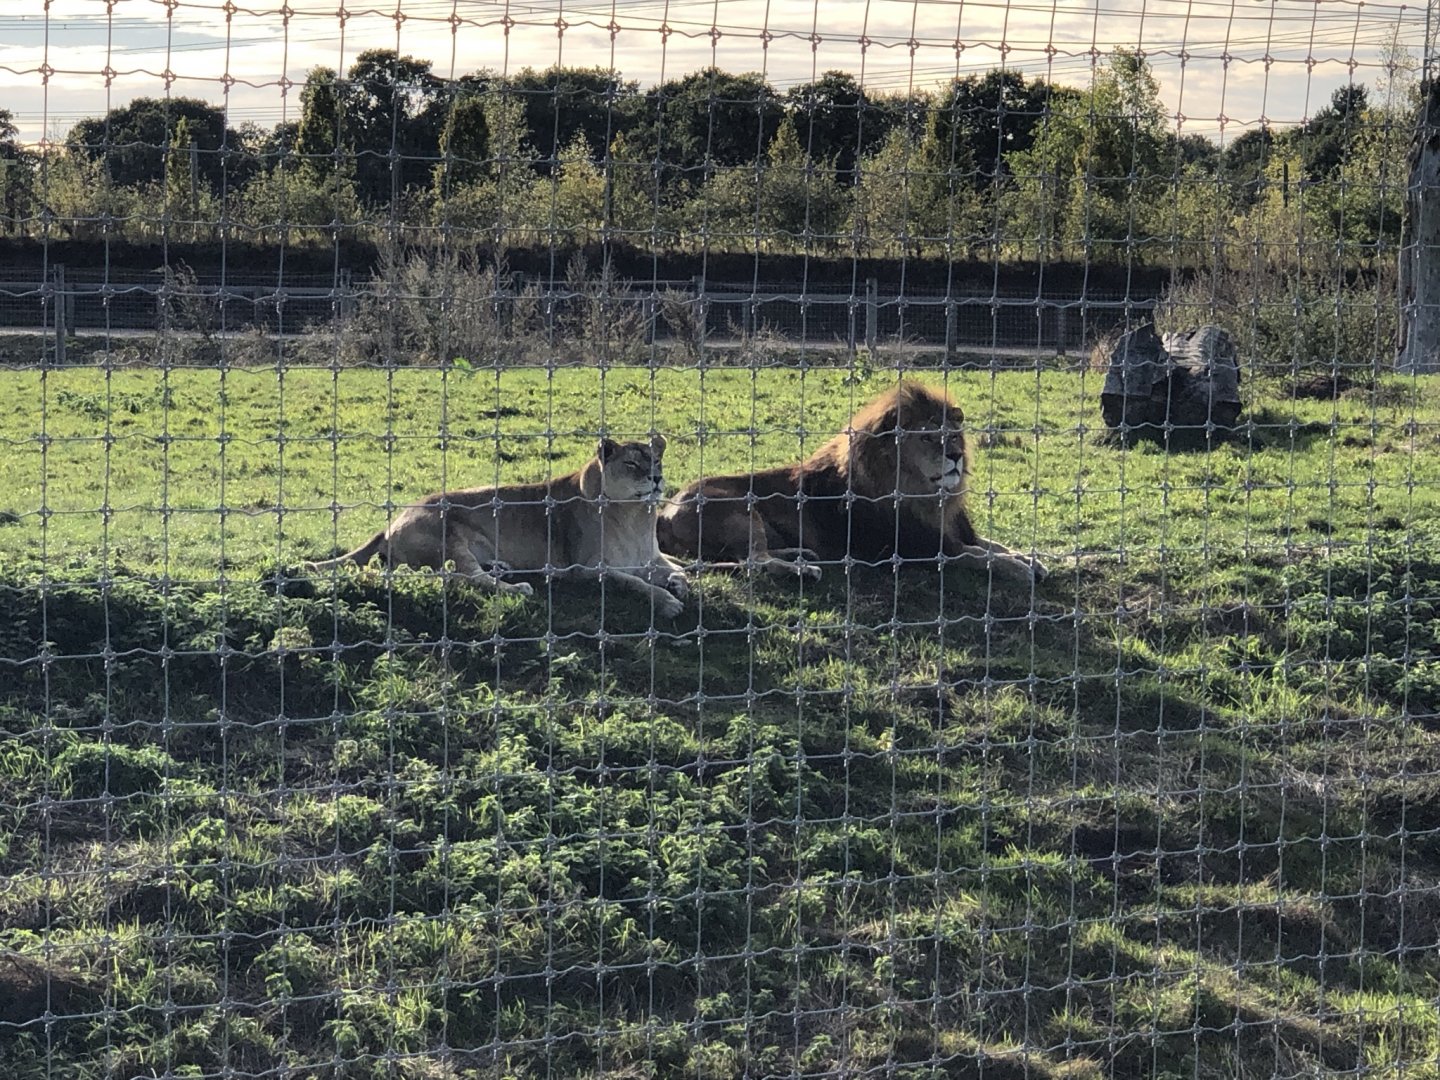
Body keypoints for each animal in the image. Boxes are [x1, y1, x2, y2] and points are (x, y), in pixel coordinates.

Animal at [307, 437, 690, 617]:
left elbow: (678, 570)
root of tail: (391, 522)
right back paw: (516, 586)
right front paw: (668, 602)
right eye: (632, 464)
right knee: (466, 578)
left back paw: (501, 566)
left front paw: (677, 583)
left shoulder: (651, 558)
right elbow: (633, 583)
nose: (657, 478)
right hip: (446, 531)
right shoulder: (584, 569)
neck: (636, 515)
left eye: (657, 460)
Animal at [657, 381, 1047, 584]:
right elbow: (978, 555)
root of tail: (664, 511)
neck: (926, 494)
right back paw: (802, 569)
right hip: (739, 508)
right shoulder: (914, 548)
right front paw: (1019, 568)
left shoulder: (951, 529)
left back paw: (798, 553)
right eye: (926, 437)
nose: (955, 456)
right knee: (754, 562)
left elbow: (993, 545)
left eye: (952, 434)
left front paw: (1030, 558)